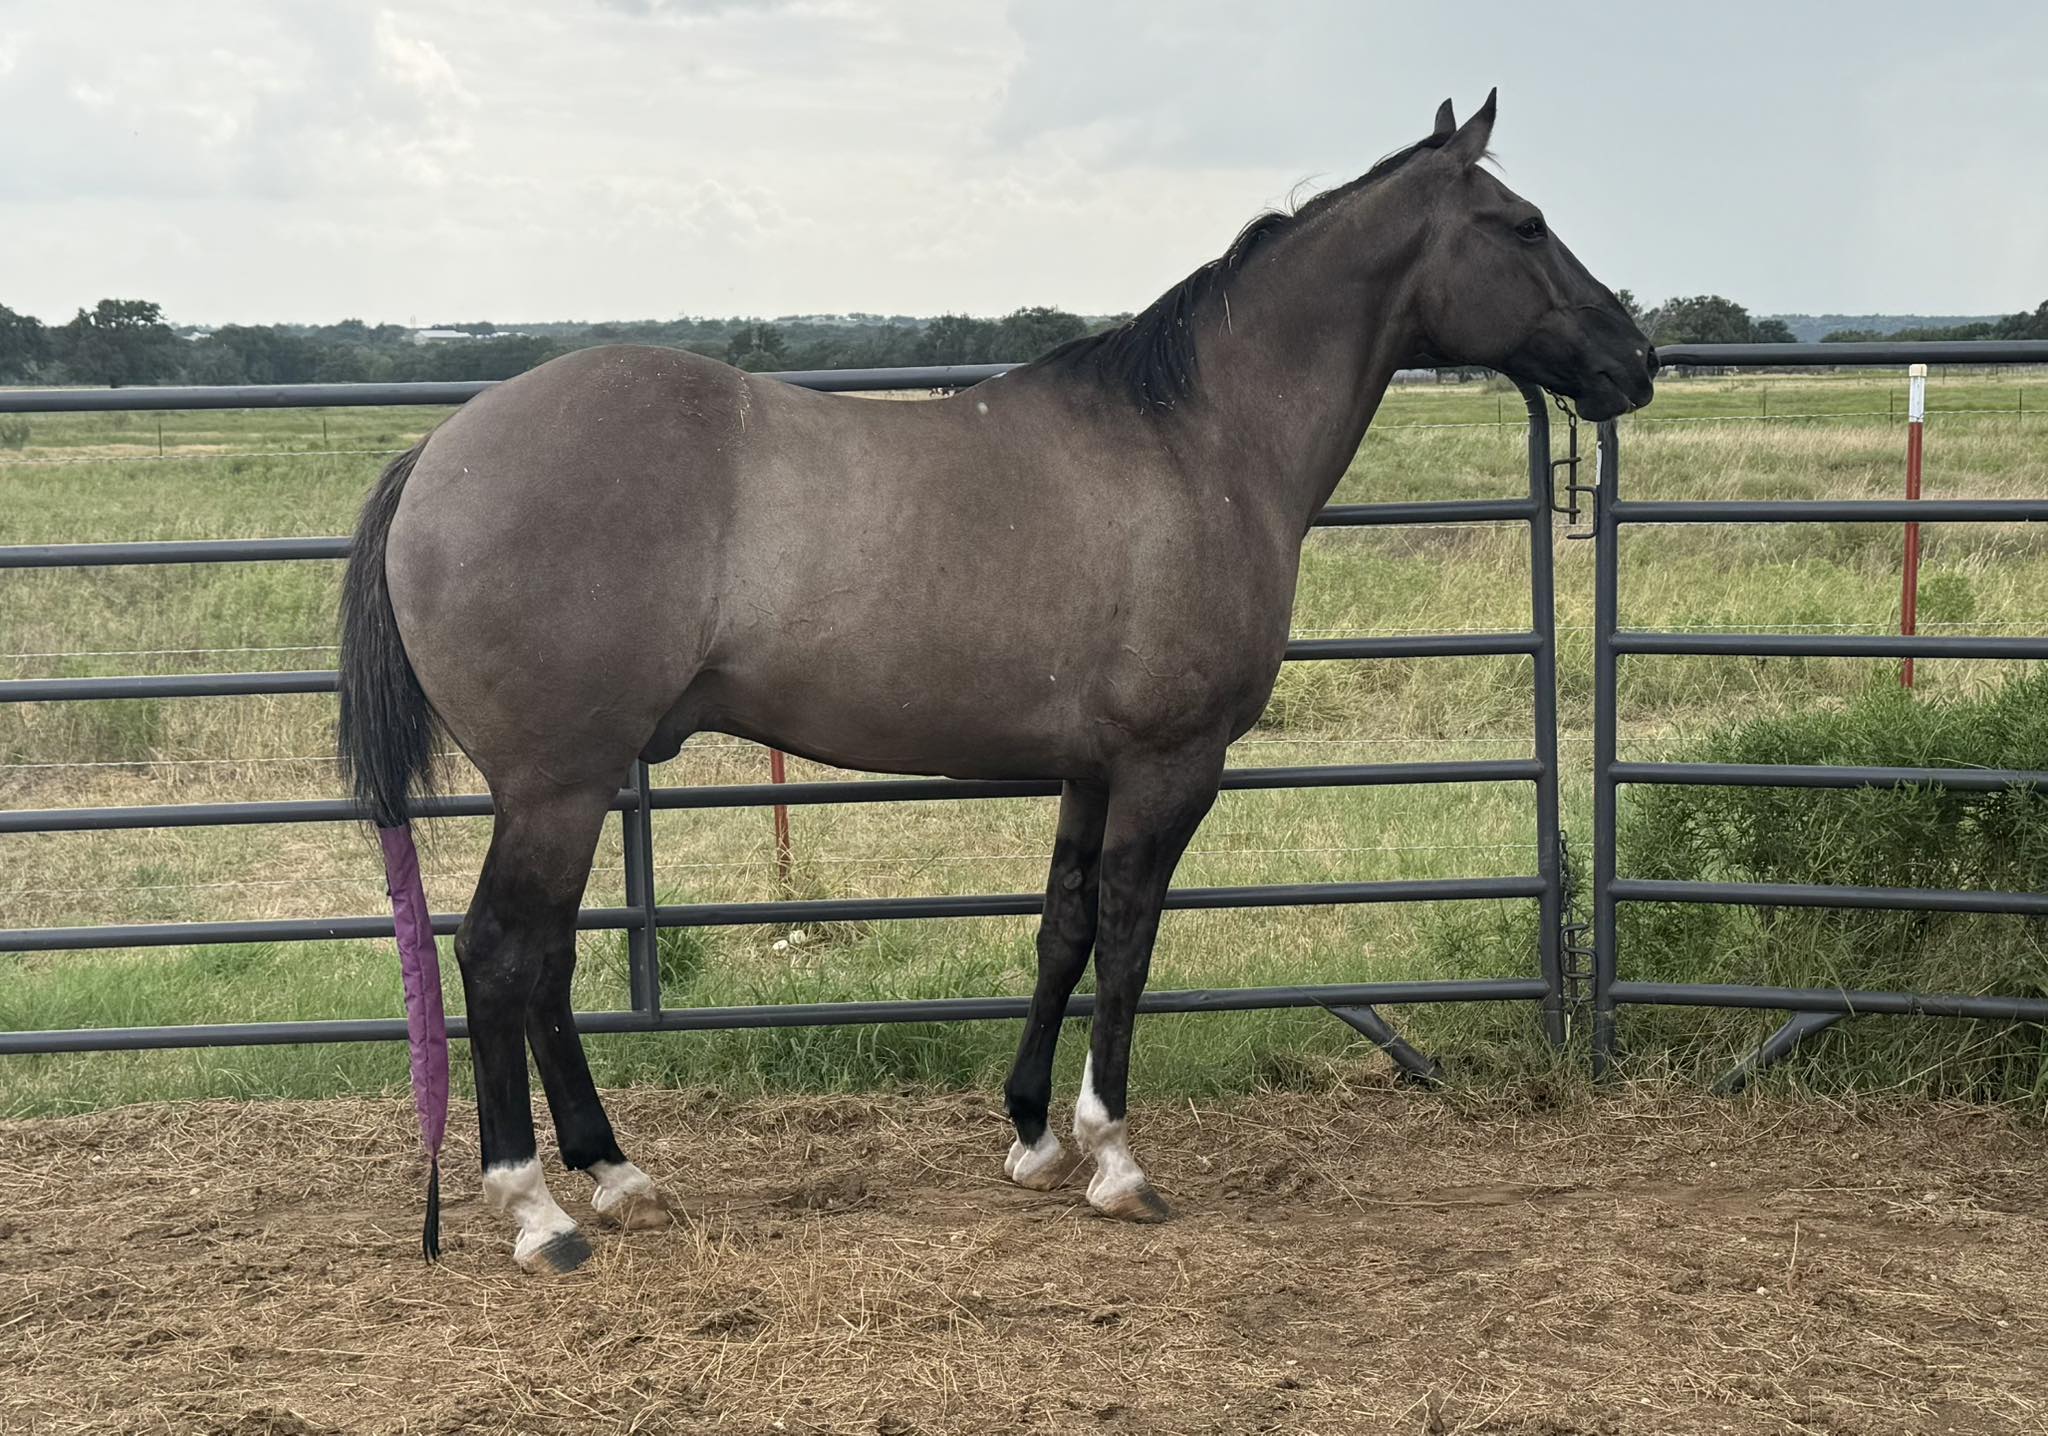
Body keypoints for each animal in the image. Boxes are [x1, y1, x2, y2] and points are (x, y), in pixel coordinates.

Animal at [338, 90, 1655, 1273]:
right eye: (1522, 225)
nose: (1635, 359)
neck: (1196, 442)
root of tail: (440, 450)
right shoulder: (1170, 765)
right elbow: (1127, 934)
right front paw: (1114, 1156)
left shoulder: (1091, 767)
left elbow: (1060, 926)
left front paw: (1032, 1135)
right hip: (554, 785)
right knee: (500, 954)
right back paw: (536, 1210)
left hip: (580, 783)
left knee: (548, 962)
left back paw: (615, 1173)